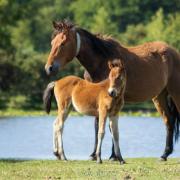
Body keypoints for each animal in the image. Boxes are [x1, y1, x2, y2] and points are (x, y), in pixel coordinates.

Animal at [45, 20, 180, 161]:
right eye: (52, 43)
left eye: (63, 43)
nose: (49, 68)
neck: (102, 61)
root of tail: (174, 52)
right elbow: (99, 125)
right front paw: (96, 155)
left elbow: (108, 128)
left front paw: (112, 155)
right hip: (159, 96)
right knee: (168, 120)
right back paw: (164, 154)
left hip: (175, 91)